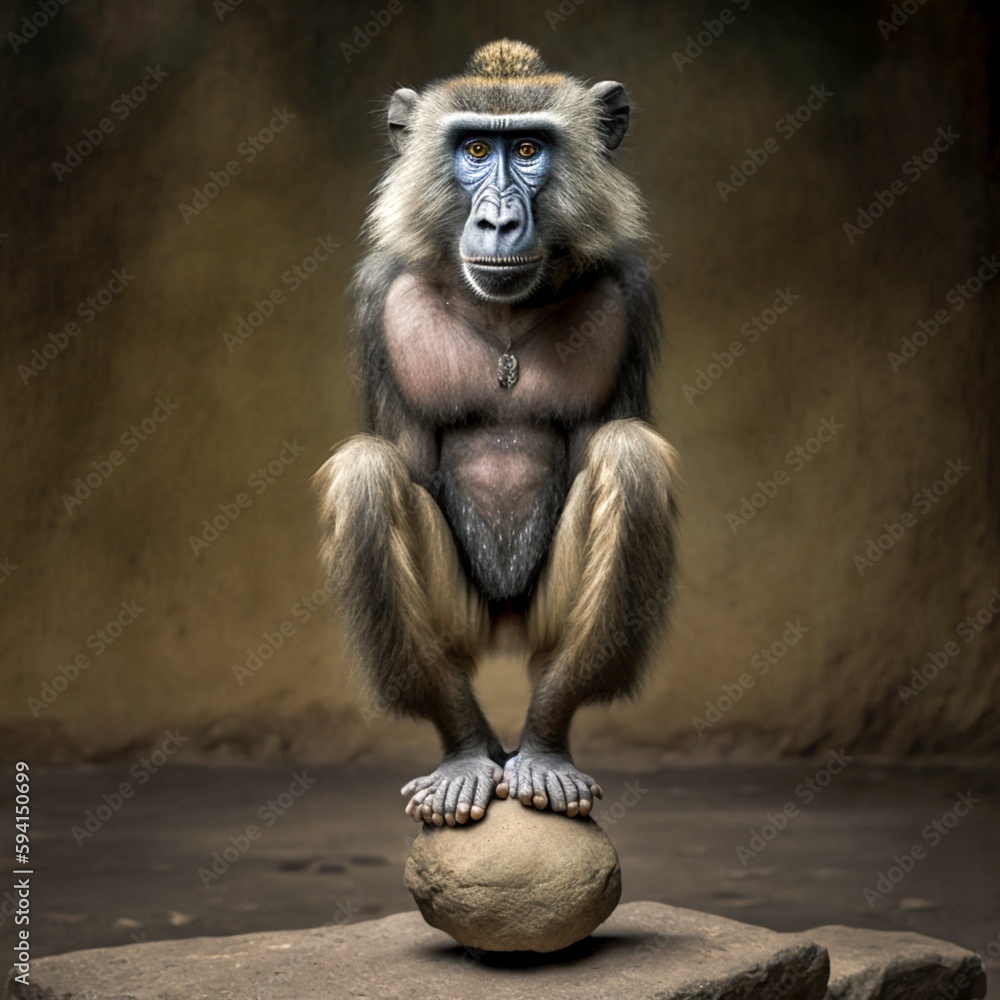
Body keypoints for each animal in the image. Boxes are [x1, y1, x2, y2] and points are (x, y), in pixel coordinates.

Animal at [316, 39, 679, 828]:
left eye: (530, 148)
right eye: (477, 148)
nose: (499, 221)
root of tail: (506, 632)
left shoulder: (628, 291)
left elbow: (613, 444)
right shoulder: (379, 293)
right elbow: (401, 465)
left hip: (542, 621)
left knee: (630, 461)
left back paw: (542, 745)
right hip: (463, 621)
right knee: (366, 476)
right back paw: (465, 752)